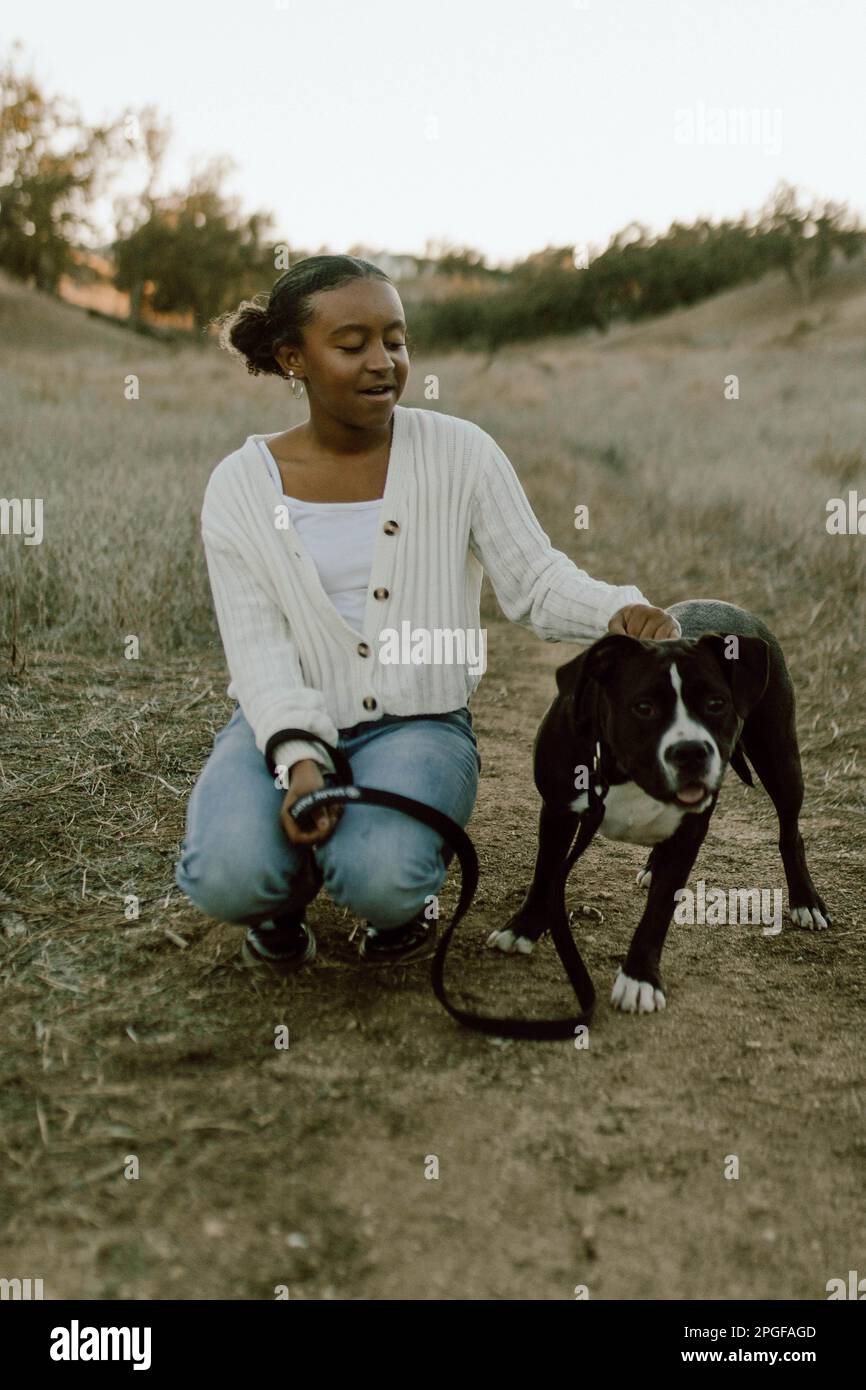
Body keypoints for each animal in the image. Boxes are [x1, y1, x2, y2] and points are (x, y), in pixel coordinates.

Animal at [489, 597, 834, 1011]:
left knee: (790, 832)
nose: (691, 752)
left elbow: (657, 913)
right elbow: (545, 872)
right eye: (644, 707)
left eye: (716, 704)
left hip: (780, 757)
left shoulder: (688, 833)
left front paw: (639, 979)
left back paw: (805, 901)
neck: (623, 770)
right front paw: (523, 929)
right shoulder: (558, 810)